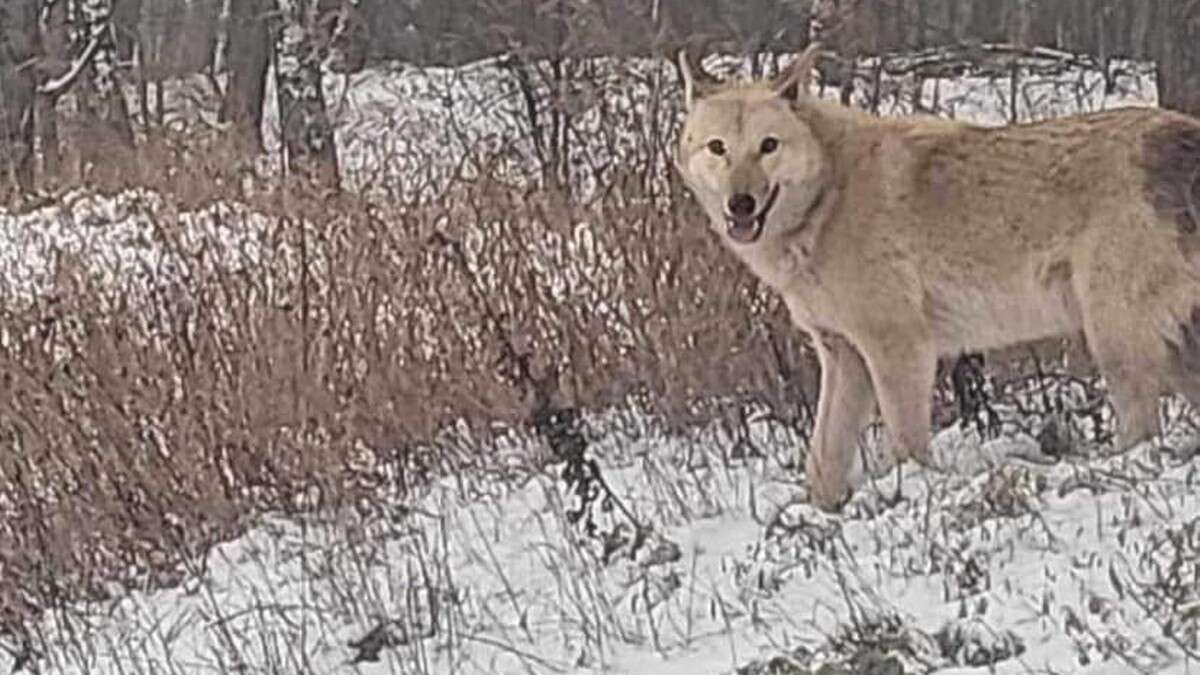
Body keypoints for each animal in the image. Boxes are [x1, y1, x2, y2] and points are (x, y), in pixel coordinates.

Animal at [676, 42, 1200, 506]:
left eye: (768, 146)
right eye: (718, 148)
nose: (740, 204)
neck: (828, 200)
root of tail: (1182, 138)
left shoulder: (901, 350)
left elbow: (907, 448)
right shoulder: (843, 357)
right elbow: (821, 465)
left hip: (1115, 345)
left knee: (1141, 433)